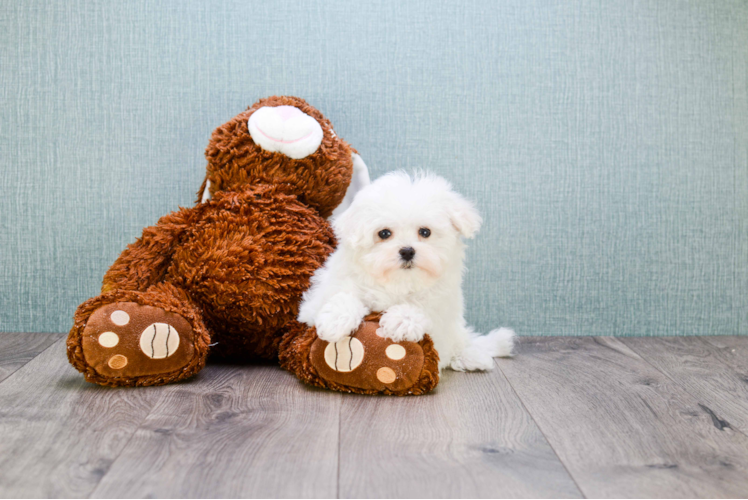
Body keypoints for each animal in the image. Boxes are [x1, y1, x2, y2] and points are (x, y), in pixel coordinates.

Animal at [298, 172, 516, 372]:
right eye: (384, 233)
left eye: (425, 232)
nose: (407, 251)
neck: (399, 282)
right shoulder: (319, 298)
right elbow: (342, 296)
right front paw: (336, 320)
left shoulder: (442, 300)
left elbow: (423, 304)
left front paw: (401, 320)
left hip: (454, 331)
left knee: (460, 342)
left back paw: (472, 356)